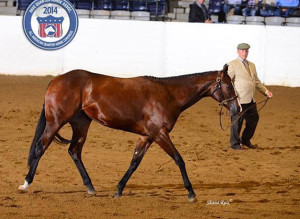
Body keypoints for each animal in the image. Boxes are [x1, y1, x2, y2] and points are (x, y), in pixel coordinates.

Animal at [18, 63, 239, 202]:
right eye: (228, 86)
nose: (237, 108)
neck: (168, 94)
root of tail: (56, 80)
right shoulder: (159, 134)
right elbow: (179, 159)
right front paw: (191, 192)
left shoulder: (147, 136)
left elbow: (134, 162)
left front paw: (119, 189)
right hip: (55, 121)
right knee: (40, 147)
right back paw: (26, 183)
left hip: (81, 124)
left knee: (74, 151)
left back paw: (90, 187)